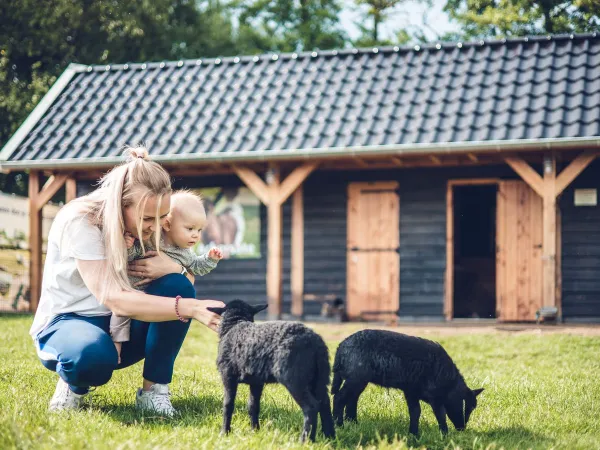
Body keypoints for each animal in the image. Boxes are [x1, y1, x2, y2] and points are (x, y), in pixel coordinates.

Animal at [209, 298, 336, 442]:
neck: (236, 323)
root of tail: (316, 342)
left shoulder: (228, 375)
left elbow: (228, 404)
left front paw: (224, 432)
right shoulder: (256, 381)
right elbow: (253, 405)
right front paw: (255, 431)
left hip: (295, 378)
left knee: (312, 406)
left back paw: (305, 440)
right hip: (319, 377)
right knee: (324, 403)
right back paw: (330, 438)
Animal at [332, 330, 482, 436]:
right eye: (467, 405)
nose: (462, 428)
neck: (450, 382)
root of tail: (340, 349)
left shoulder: (411, 391)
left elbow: (415, 412)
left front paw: (413, 434)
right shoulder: (435, 396)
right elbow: (441, 415)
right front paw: (444, 435)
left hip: (358, 380)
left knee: (351, 400)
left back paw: (353, 423)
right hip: (355, 378)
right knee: (339, 398)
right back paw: (338, 425)